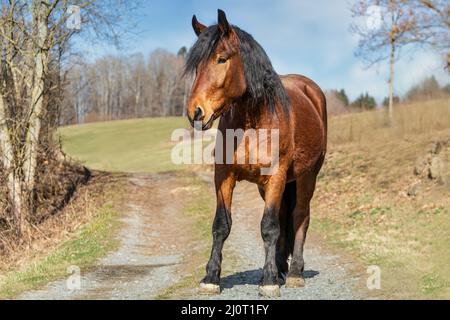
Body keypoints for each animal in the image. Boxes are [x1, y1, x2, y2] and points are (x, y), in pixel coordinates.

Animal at [184, 8, 326, 298]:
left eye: (221, 59)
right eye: (196, 66)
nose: (195, 112)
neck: (253, 121)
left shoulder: (276, 176)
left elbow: (269, 227)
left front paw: (268, 281)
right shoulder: (224, 177)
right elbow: (221, 225)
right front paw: (211, 277)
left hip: (307, 177)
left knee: (300, 216)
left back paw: (294, 273)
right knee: (284, 216)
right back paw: (282, 269)